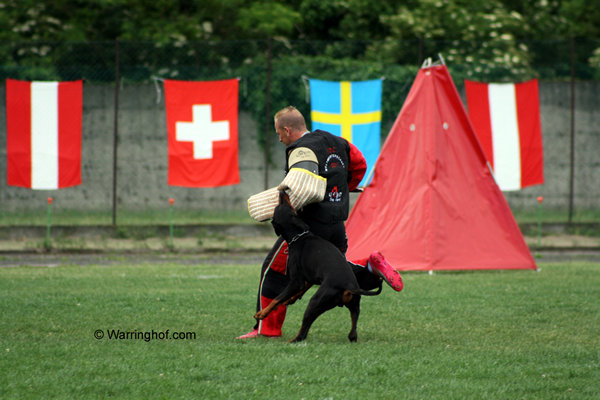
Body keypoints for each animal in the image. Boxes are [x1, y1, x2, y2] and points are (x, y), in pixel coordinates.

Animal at [253, 190, 380, 340]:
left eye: (281, 205)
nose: (282, 191)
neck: (299, 236)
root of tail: (349, 288)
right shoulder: (310, 277)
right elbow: (300, 289)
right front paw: (291, 299)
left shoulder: (296, 281)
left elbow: (276, 298)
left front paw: (262, 313)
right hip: (354, 306)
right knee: (353, 333)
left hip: (315, 302)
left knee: (303, 333)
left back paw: (292, 340)